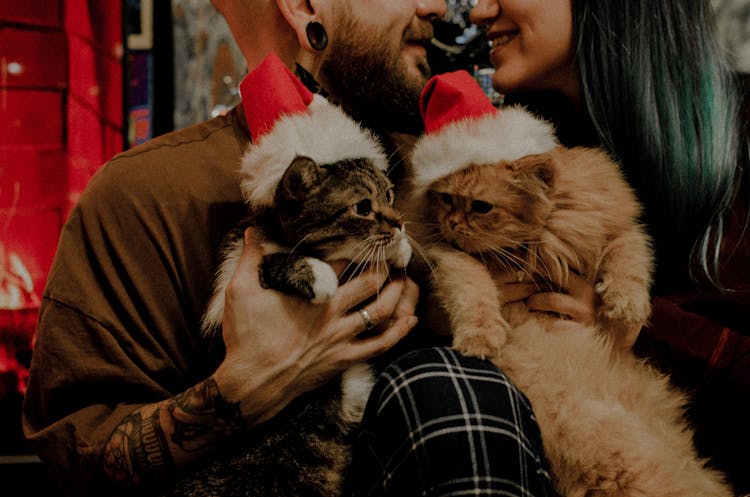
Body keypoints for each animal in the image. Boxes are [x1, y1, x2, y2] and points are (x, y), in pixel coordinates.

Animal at [162, 155, 414, 496]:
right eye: (363, 207)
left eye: (389, 195)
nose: (399, 222)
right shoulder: (226, 297)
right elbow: (274, 261)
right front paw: (318, 275)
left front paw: (401, 250)